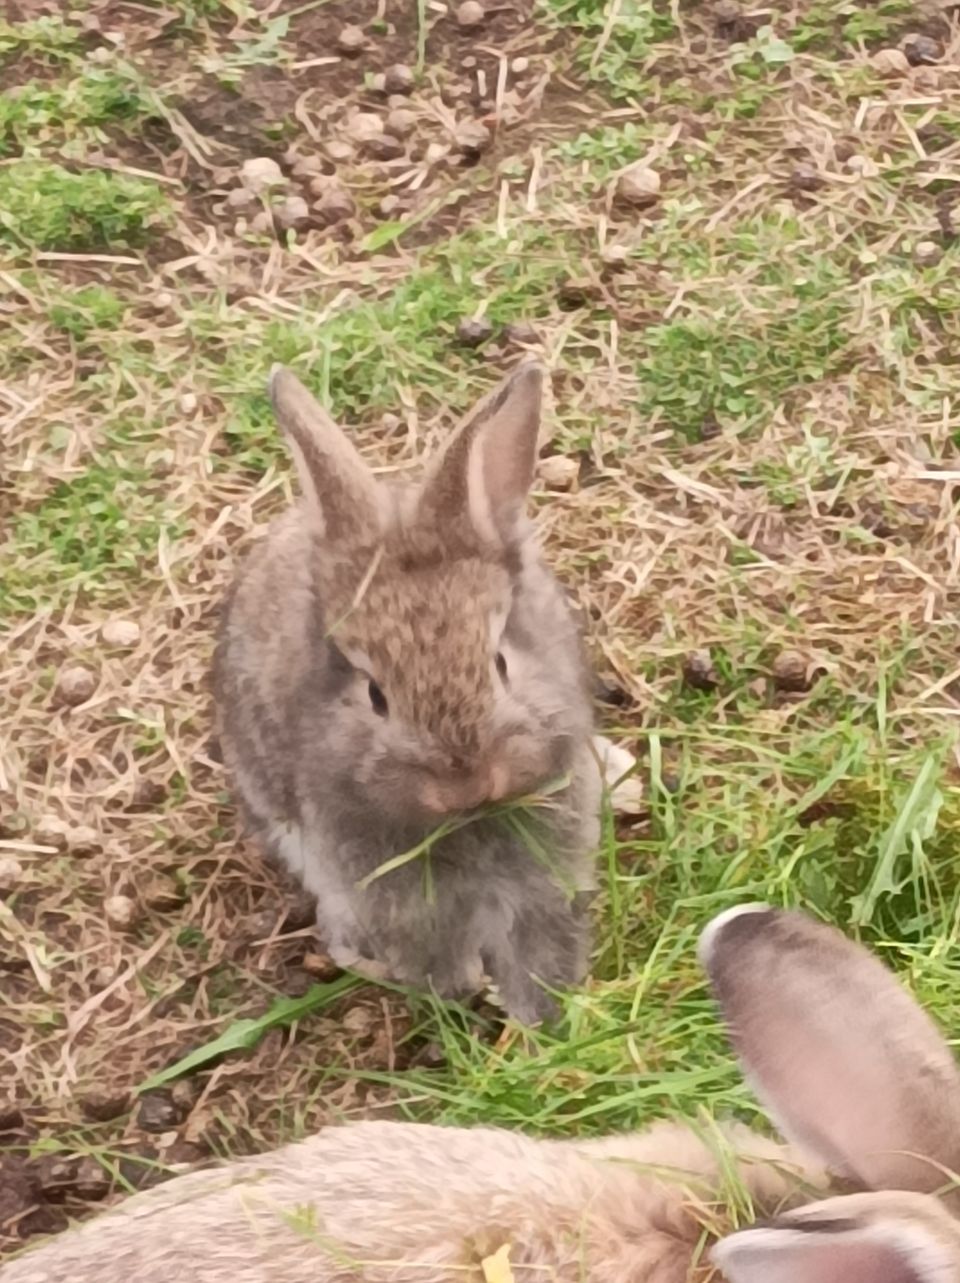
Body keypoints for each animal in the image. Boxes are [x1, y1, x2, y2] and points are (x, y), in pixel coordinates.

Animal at [214, 364, 603, 1021]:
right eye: (375, 695)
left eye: (500, 663)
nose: (466, 783)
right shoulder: (396, 897)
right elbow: (434, 954)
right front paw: (462, 993)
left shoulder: (546, 882)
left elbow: (541, 950)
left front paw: (544, 1021)